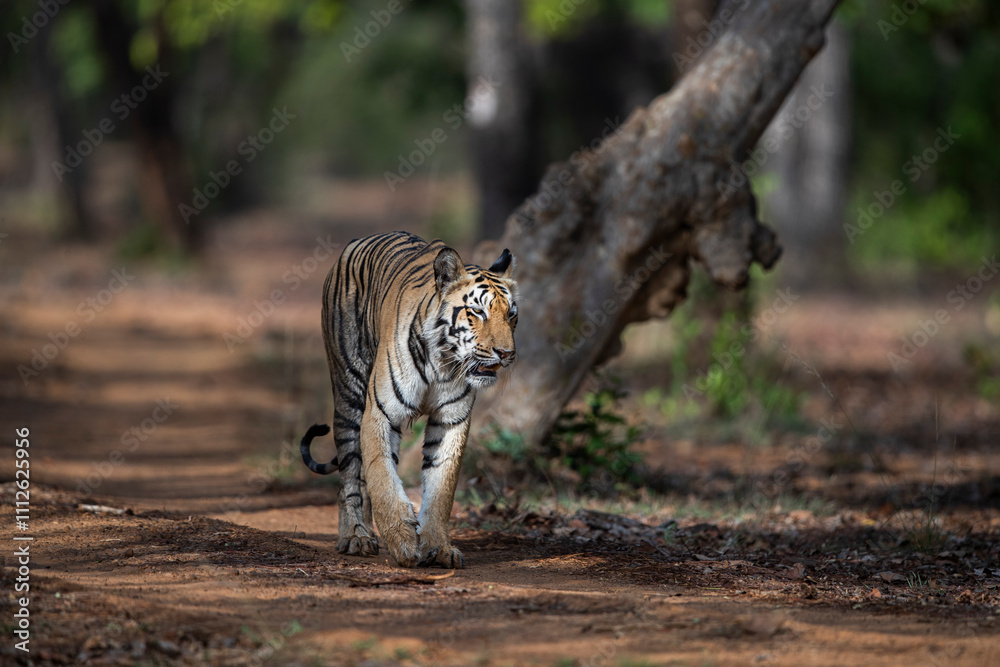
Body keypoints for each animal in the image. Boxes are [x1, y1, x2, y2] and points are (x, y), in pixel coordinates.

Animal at [300, 231, 518, 568]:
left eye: (511, 315)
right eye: (478, 312)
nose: (506, 353)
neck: (443, 361)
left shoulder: (450, 420)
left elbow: (441, 487)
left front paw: (438, 548)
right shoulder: (380, 412)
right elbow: (382, 475)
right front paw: (403, 542)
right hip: (349, 393)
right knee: (351, 473)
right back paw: (356, 536)